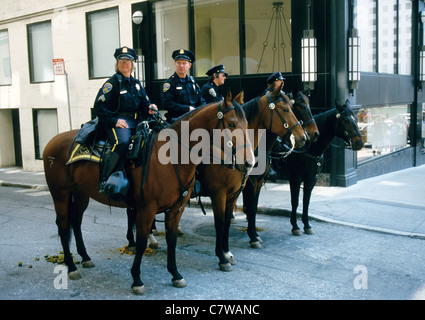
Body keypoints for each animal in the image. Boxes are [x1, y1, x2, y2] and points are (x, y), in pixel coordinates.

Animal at [42, 90, 255, 296]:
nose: (249, 162)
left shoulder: (177, 207)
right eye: (232, 123)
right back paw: (71, 267)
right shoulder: (148, 208)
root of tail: (52, 140)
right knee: (63, 226)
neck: (172, 156)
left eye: (246, 124)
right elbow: (142, 241)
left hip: (81, 194)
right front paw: (137, 280)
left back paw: (85, 257)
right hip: (60, 194)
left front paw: (175, 274)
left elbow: (172, 239)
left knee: (76, 222)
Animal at [242, 90, 318, 248]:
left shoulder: (257, 181)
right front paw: (253, 237)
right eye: (301, 107)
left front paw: (254, 234)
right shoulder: (251, 181)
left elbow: (253, 207)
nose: (309, 135)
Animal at [286, 98, 362, 235]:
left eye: (356, 118)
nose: (360, 143)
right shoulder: (295, 179)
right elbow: (295, 202)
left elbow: (306, 202)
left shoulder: (311, 180)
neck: (309, 148)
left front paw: (307, 225)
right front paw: (295, 226)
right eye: (346, 120)